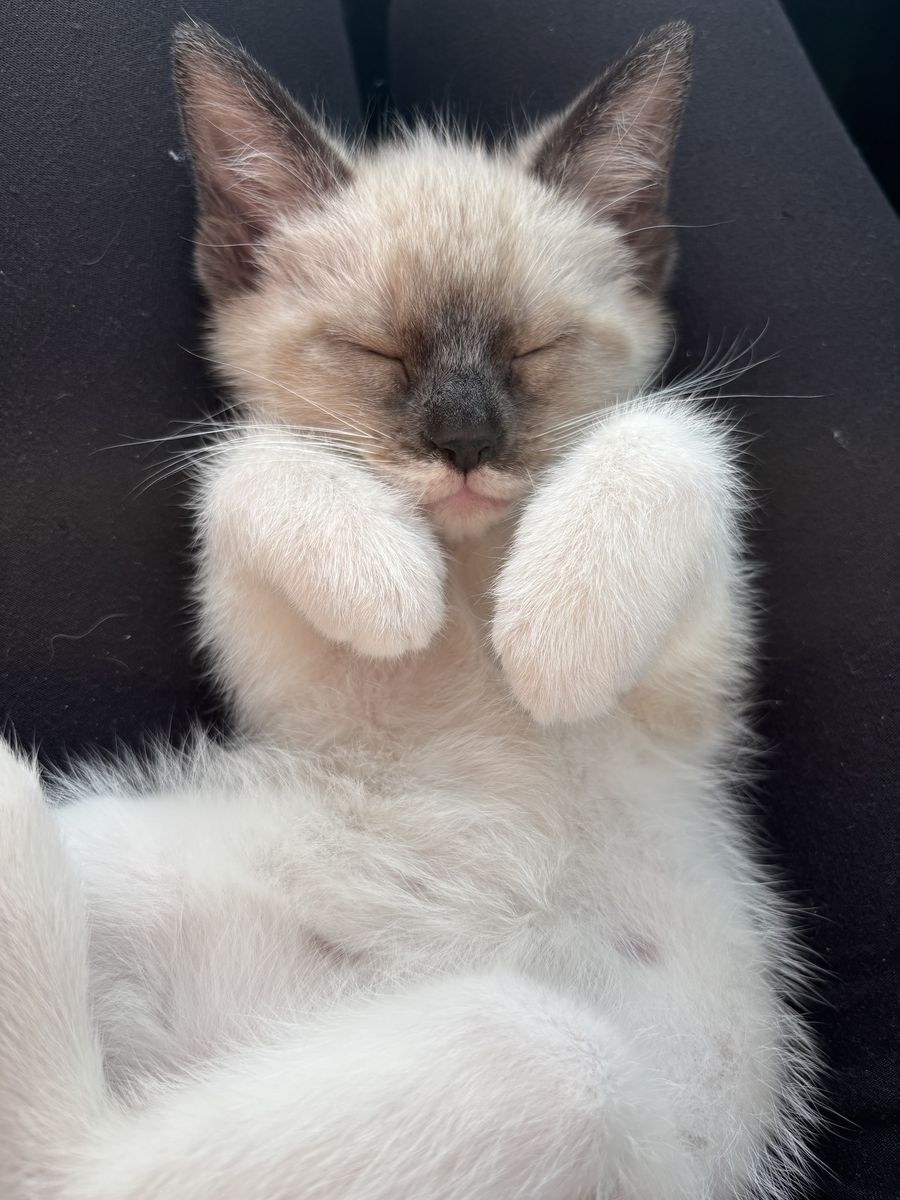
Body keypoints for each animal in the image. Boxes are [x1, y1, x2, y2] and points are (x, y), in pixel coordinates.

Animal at [0, 19, 819, 1200]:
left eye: (534, 349)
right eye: (375, 352)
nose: (466, 444)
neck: (472, 572)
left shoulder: (694, 691)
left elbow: (666, 435)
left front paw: (549, 642)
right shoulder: (288, 677)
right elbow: (249, 460)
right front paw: (394, 588)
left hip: (542, 1067)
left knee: (79, 1162)